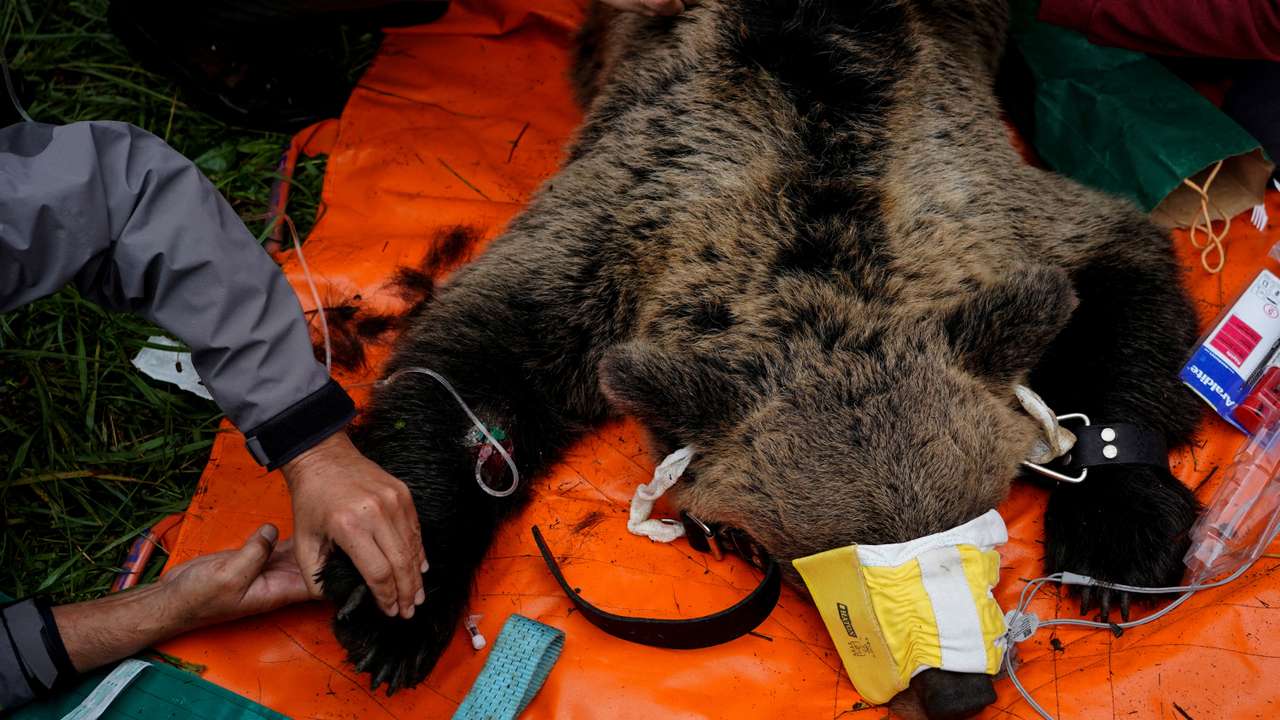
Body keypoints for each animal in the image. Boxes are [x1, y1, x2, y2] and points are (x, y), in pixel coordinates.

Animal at [320, 1, 1203, 716]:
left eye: (982, 525)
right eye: (825, 559)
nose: (956, 695)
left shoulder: (991, 205)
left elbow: (1118, 268)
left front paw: (1115, 540)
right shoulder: (616, 227)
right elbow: (478, 358)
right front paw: (395, 601)